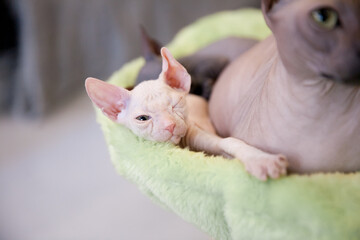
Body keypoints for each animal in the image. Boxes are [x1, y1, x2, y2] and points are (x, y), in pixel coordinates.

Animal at [86, 47, 288, 180]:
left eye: (175, 105)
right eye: (142, 118)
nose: (170, 125)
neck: (181, 145)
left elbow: (230, 142)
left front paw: (261, 160)